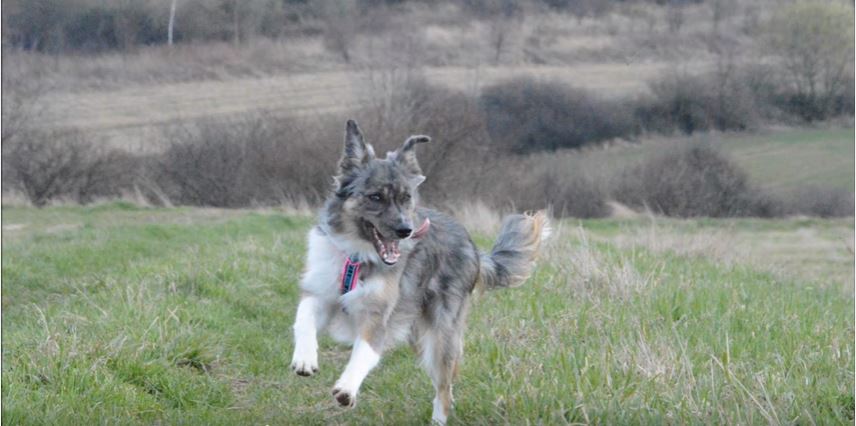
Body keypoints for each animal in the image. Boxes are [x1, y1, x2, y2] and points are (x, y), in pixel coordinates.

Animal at [290, 119, 552, 422]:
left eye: (406, 198)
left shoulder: (377, 315)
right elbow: (304, 318)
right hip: (417, 332)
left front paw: (347, 387)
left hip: (441, 335)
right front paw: (305, 358)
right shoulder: (320, 291)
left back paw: (438, 419)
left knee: (444, 389)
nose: (405, 230)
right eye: (375, 197)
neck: (357, 258)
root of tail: (473, 248)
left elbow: (365, 351)